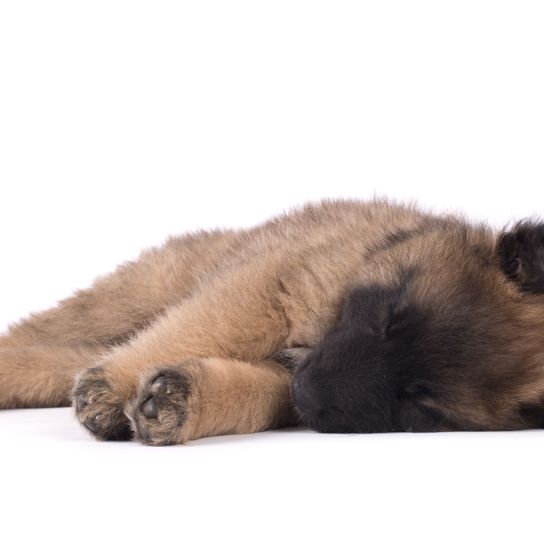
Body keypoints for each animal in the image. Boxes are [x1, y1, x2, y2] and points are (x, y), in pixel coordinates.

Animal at [1, 200, 544, 442]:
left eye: (421, 403)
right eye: (390, 317)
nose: (309, 389)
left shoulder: (291, 379)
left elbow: (254, 395)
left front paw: (183, 401)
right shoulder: (266, 288)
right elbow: (200, 326)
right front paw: (115, 387)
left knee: (53, 360)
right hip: (134, 296)